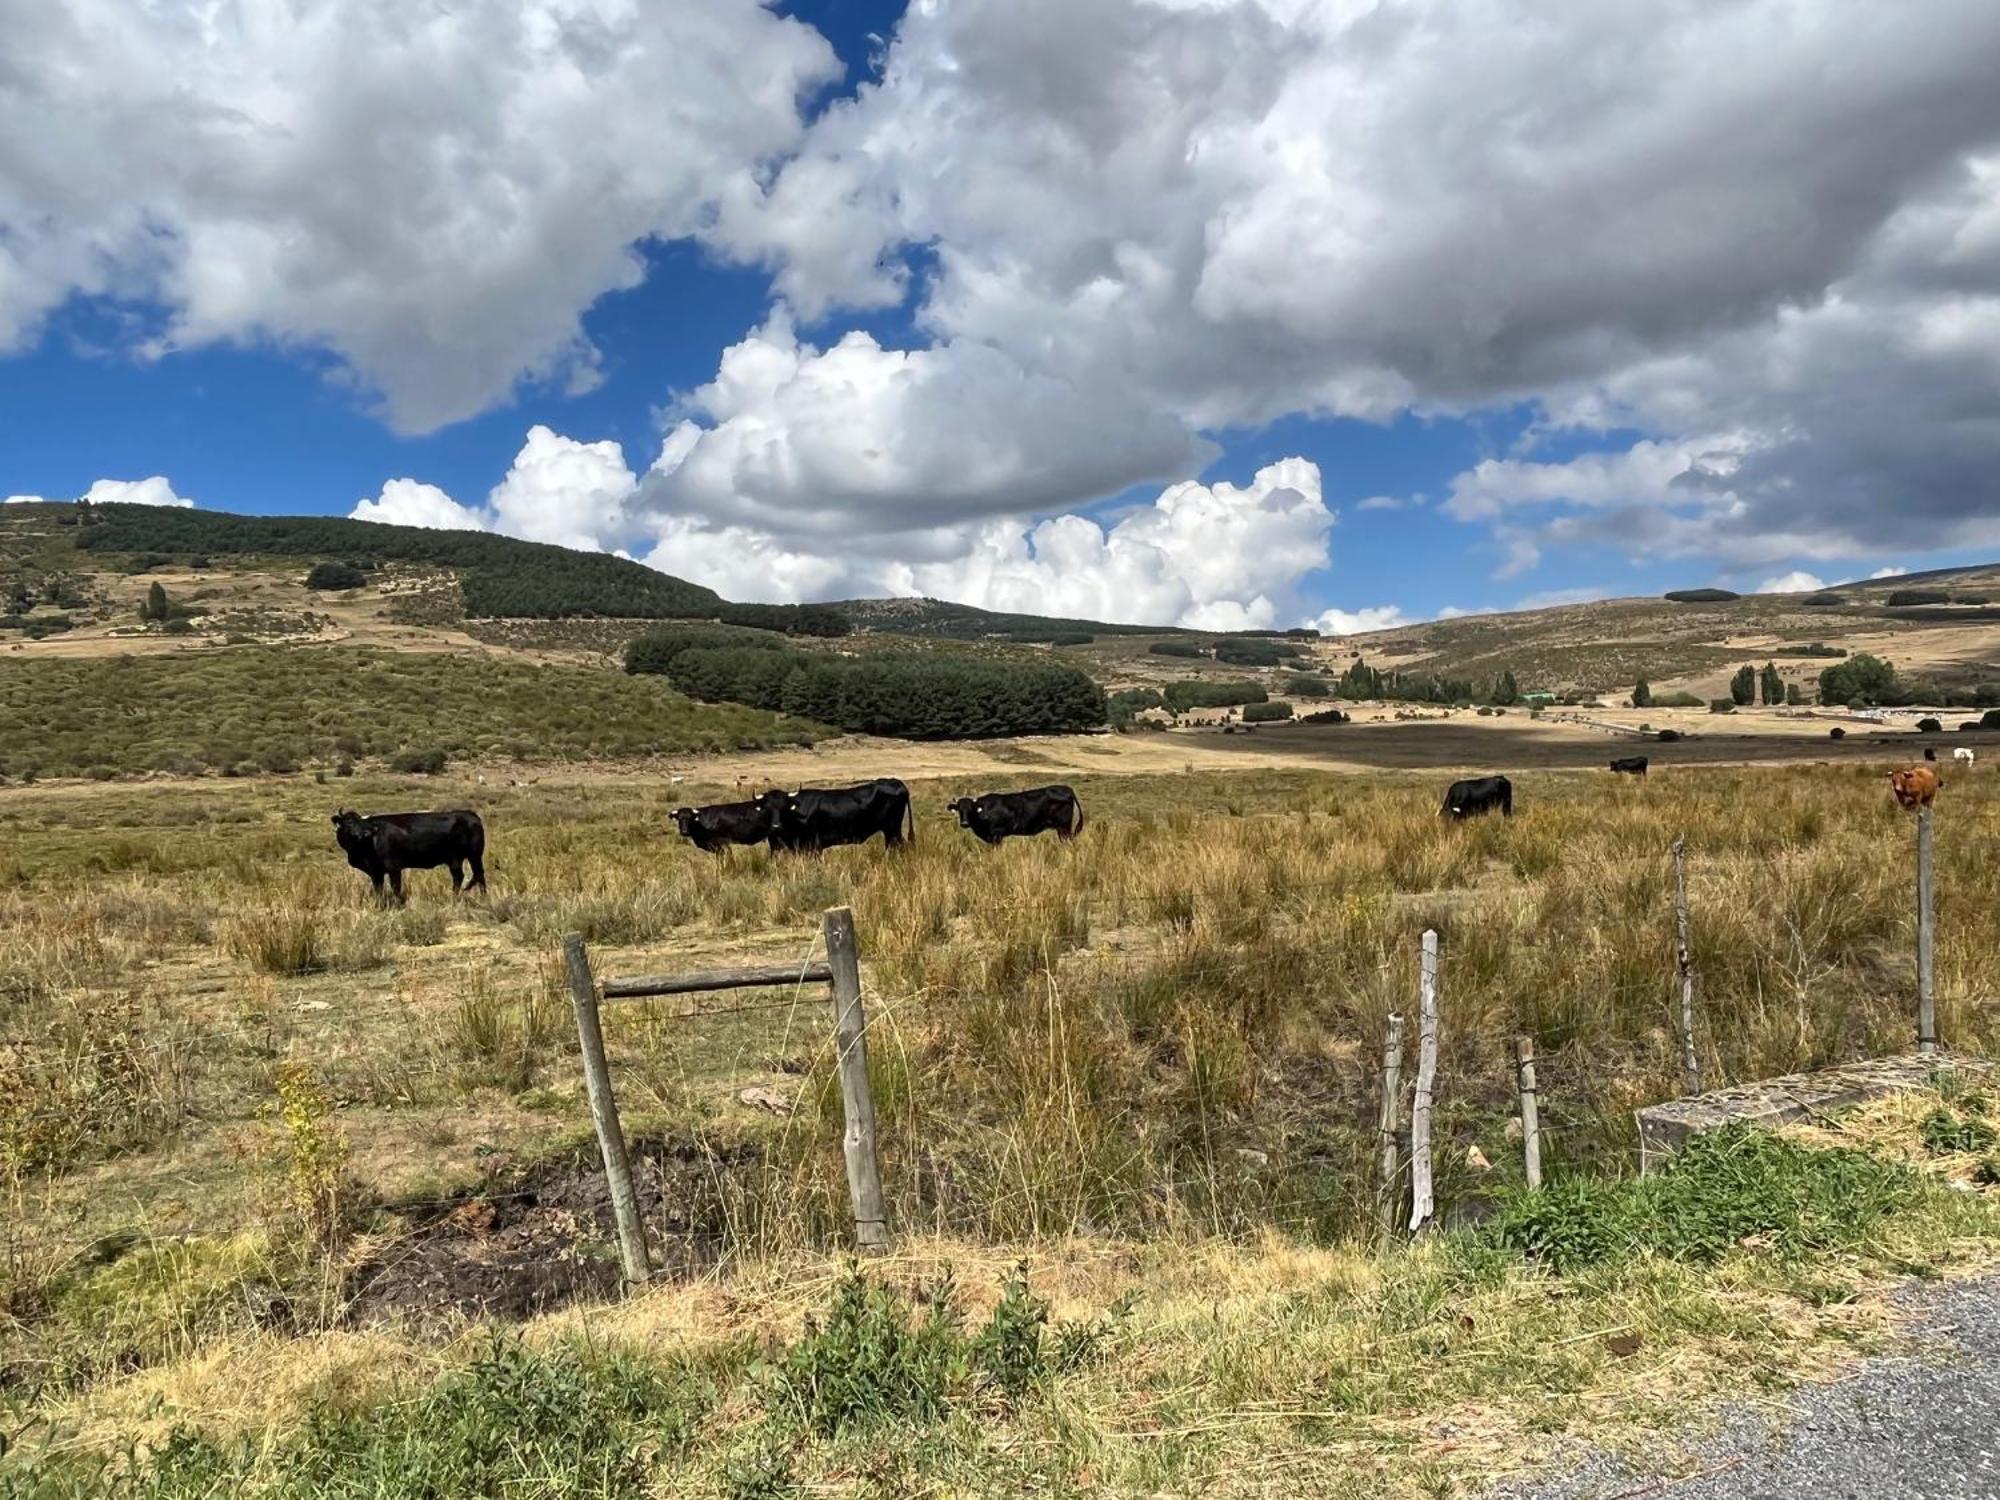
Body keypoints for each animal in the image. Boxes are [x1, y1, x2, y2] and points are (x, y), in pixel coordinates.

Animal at [332, 812, 484, 904]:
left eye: (362, 823)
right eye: (348, 822)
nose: (365, 833)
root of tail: (470, 814)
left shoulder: (394, 867)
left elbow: (395, 887)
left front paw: (399, 903)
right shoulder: (376, 872)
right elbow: (378, 889)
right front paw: (379, 904)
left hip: (468, 856)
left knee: (466, 876)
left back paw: (456, 896)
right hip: (468, 858)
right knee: (477, 875)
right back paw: (483, 897)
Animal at [756, 780, 916, 852]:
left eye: (783, 808)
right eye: (766, 809)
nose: (775, 826)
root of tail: (895, 781)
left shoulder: (814, 845)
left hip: (893, 828)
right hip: (890, 830)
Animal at [948, 788, 1088, 848]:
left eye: (971, 809)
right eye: (959, 809)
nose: (964, 823)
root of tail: (1066, 789)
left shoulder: (997, 835)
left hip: (1064, 827)